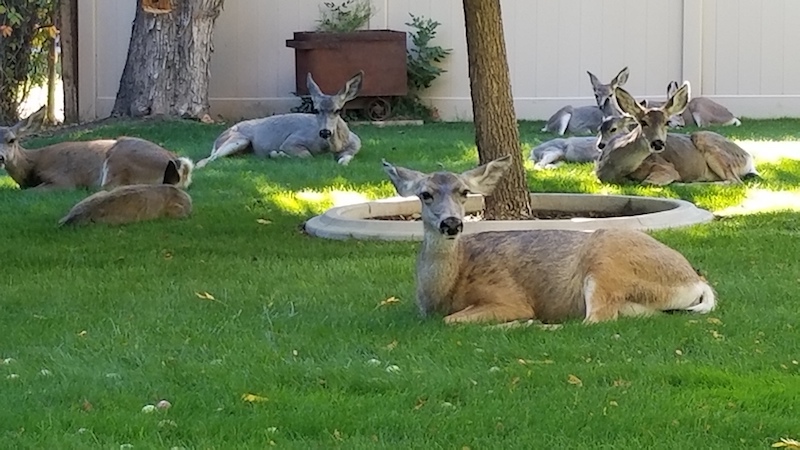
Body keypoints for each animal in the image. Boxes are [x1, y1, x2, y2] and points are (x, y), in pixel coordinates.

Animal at [196, 71, 364, 168]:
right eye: (316, 110)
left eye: (338, 110)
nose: (325, 132)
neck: (332, 147)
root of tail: (218, 139)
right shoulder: (291, 141)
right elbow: (307, 156)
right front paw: (277, 154)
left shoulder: (355, 146)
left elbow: (344, 160)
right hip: (238, 139)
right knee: (206, 159)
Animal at [381, 156, 716, 325]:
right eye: (425, 194)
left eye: (464, 192)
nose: (451, 223)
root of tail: (697, 282)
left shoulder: (507, 296)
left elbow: (452, 321)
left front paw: (522, 322)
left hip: (607, 266)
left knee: (595, 319)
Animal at [594, 83, 758, 186]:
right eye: (643, 122)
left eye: (667, 122)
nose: (658, 143)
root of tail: (748, 158)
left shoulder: (666, 167)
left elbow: (648, 182)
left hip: (707, 141)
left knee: (735, 181)